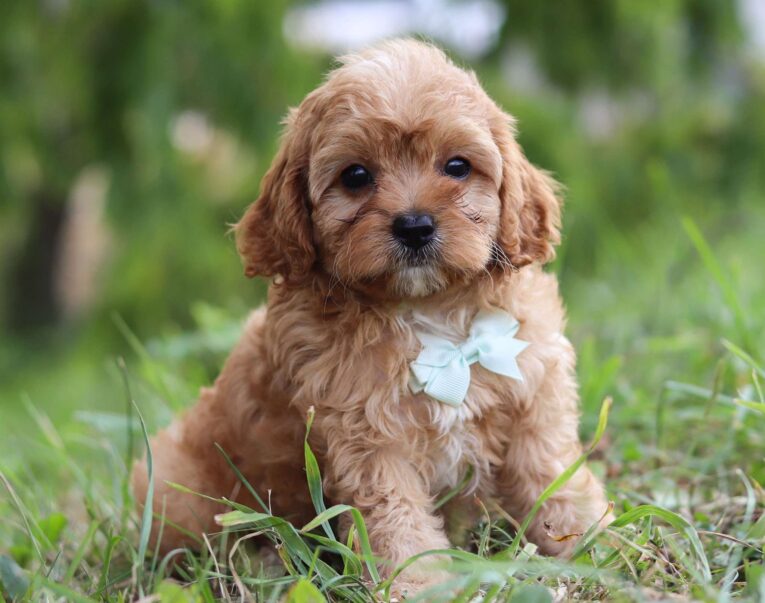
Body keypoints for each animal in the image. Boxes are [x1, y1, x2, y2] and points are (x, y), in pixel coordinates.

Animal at [131, 37, 608, 596]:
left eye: (458, 166)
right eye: (356, 176)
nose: (415, 225)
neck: (433, 318)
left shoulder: (535, 395)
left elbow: (550, 474)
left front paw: (591, 543)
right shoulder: (369, 440)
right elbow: (394, 517)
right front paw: (417, 584)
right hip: (174, 488)